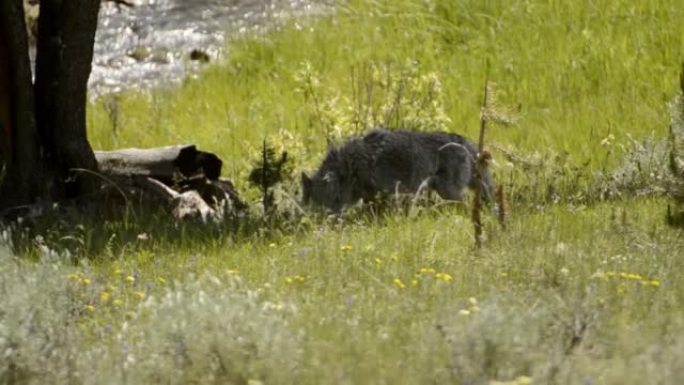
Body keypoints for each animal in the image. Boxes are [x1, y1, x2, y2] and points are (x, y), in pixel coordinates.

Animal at [302, 130, 494, 212]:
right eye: (316, 202)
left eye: (336, 198)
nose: (329, 219)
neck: (350, 165)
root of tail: (466, 143)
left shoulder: (378, 193)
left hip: (449, 192)